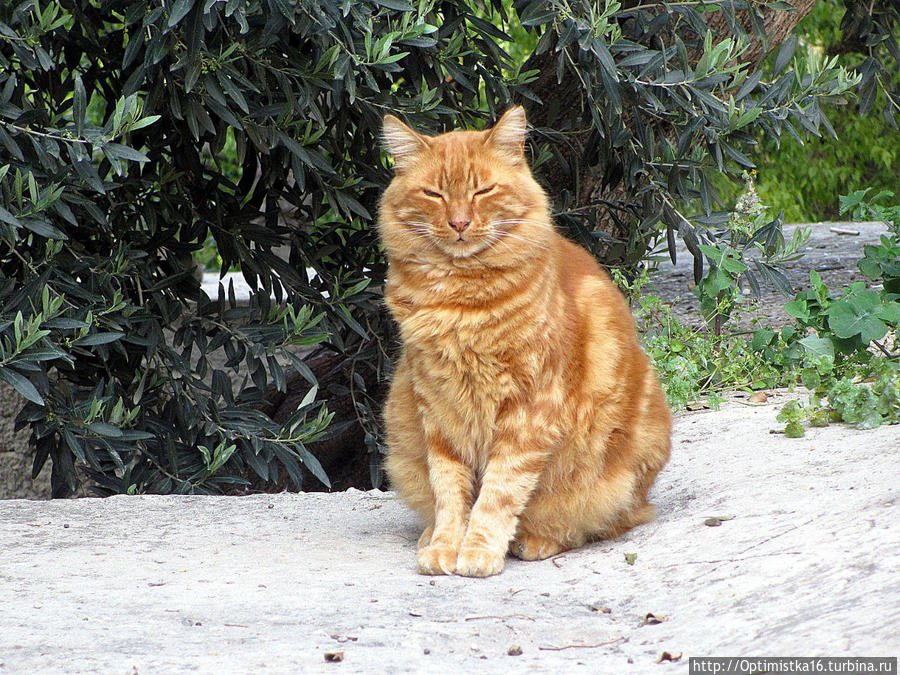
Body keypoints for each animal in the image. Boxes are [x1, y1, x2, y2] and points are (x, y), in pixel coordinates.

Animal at [378, 108, 668, 580]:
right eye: (434, 194)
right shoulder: (438, 409)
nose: (459, 223)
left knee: (602, 522)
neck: (459, 301)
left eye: (482, 190)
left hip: (616, 472)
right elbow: (450, 491)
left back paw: (537, 540)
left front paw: (478, 551)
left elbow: (498, 491)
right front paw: (444, 546)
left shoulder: (528, 410)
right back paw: (429, 535)